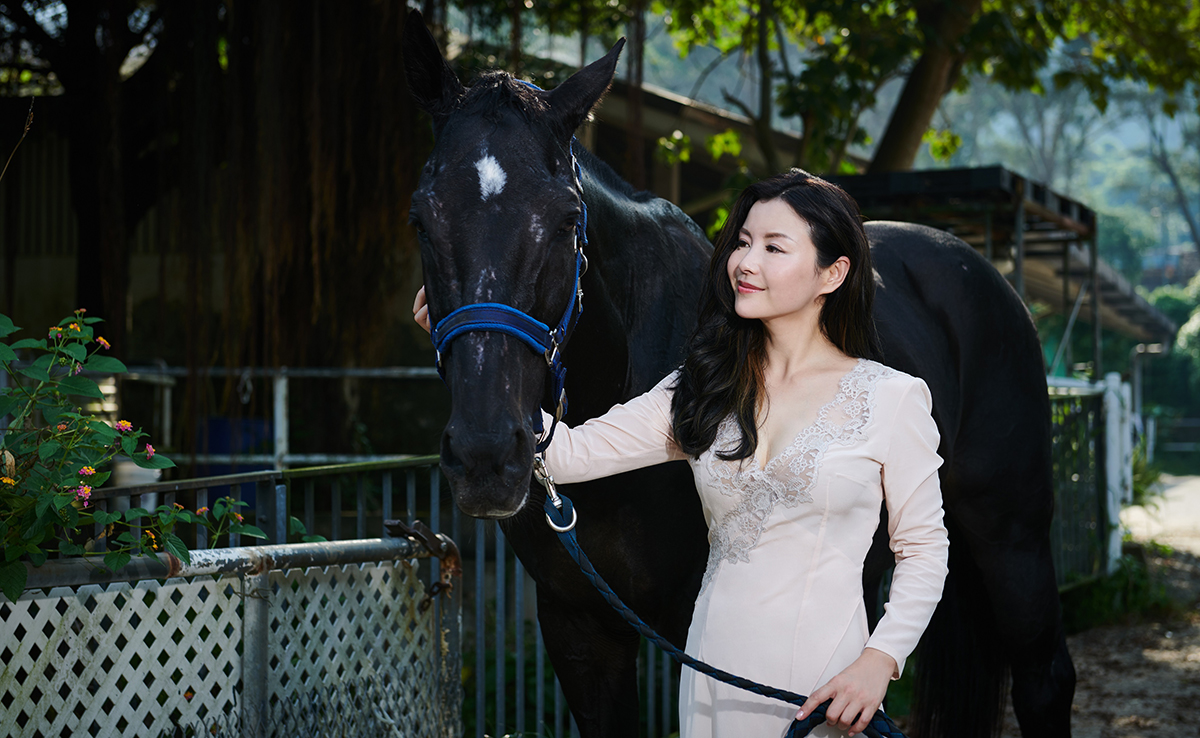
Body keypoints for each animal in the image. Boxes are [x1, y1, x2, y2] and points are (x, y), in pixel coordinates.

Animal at [403, 10, 1080, 734]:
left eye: (565, 220)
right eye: (421, 219)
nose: (486, 456)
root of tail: (984, 275)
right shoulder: (579, 627)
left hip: (1011, 537)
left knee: (1045, 679)